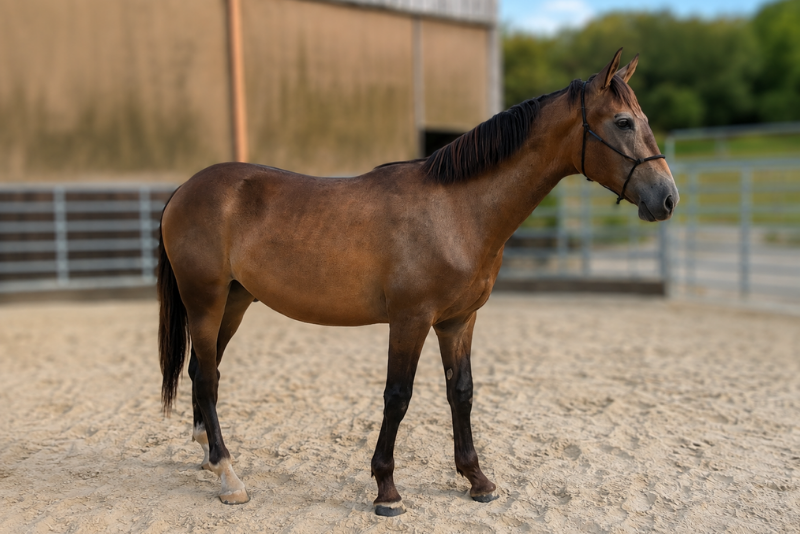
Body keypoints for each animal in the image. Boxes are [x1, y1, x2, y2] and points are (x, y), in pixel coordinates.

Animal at [157, 49, 678, 515]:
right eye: (623, 122)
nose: (668, 197)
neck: (457, 210)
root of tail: (184, 189)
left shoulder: (458, 321)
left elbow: (461, 392)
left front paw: (477, 480)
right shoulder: (410, 320)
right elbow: (398, 397)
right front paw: (386, 490)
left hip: (234, 302)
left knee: (204, 372)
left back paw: (208, 457)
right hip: (205, 301)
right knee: (207, 378)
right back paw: (229, 476)